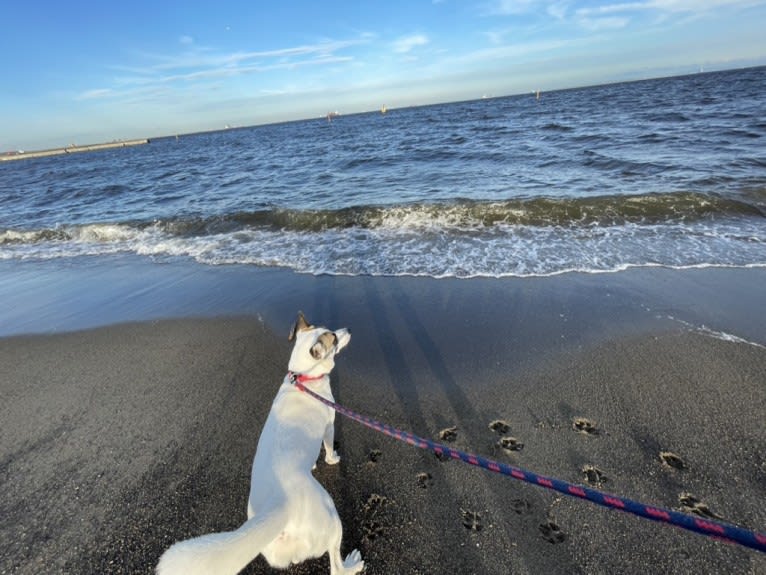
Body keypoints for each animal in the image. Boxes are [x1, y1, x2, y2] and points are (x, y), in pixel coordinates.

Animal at [157, 316, 366, 575]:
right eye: (334, 338)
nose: (349, 329)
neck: (303, 377)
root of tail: (279, 506)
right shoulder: (329, 423)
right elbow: (327, 448)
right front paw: (333, 458)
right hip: (331, 517)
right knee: (336, 566)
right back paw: (353, 563)